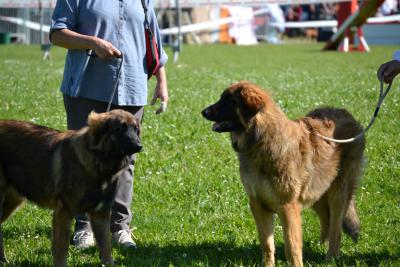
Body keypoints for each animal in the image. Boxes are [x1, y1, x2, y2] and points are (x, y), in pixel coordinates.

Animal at [0, 109, 142, 267]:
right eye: (120, 129)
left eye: (135, 129)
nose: (139, 146)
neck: (98, 160)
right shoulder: (64, 213)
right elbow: (61, 250)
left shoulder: (101, 214)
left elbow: (106, 248)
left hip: (12, 201)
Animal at [203, 81, 366, 267]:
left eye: (229, 101)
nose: (203, 112)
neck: (261, 142)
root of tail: (346, 113)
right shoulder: (258, 204)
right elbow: (266, 243)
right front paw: (267, 265)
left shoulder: (287, 206)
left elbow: (292, 246)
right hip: (316, 191)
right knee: (327, 218)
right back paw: (320, 245)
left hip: (337, 193)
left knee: (336, 228)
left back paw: (330, 256)